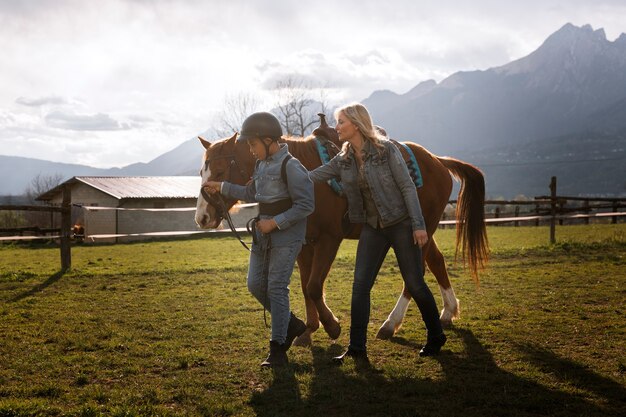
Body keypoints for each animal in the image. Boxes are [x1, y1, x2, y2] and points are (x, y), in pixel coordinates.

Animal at [195, 122, 488, 346]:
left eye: (219, 171)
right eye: (202, 171)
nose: (202, 218)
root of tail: (438, 161)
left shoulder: (329, 239)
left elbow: (314, 286)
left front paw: (332, 326)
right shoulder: (304, 244)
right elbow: (306, 286)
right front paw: (308, 330)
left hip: (419, 229)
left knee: (414, 276)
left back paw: (390, 324)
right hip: (421, 230)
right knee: (436, 261)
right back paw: (448, 312)